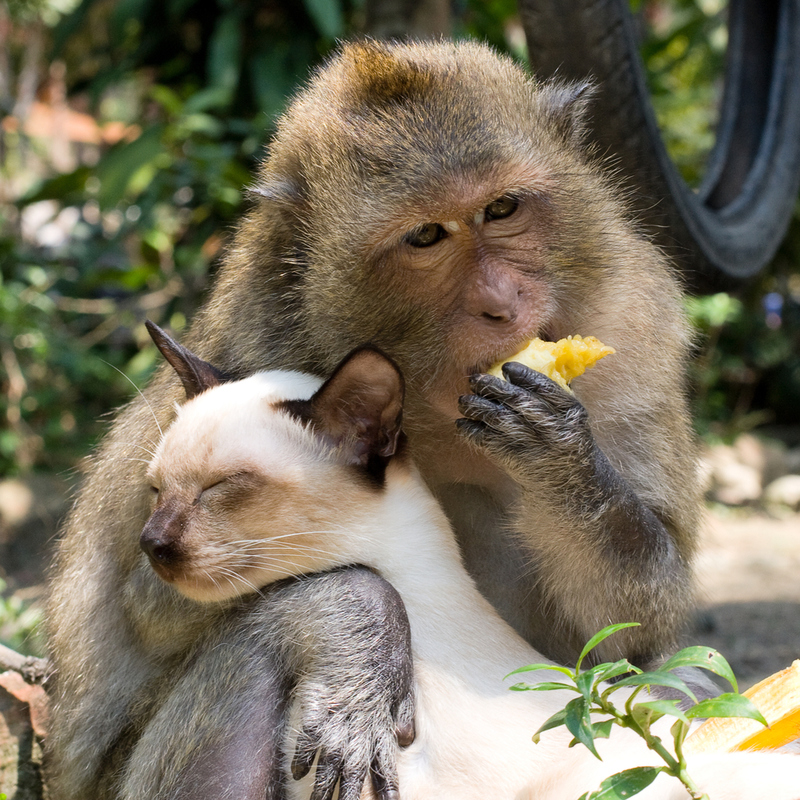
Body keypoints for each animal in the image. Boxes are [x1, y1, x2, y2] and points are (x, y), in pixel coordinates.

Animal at [47, 40, 700, 800]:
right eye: (426, 236)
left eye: (502, 207)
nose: (502, 304)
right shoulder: (254, 350)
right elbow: (153, 601)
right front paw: (358, 629)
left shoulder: (634, 322)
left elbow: (630, 633)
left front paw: (559, 458)